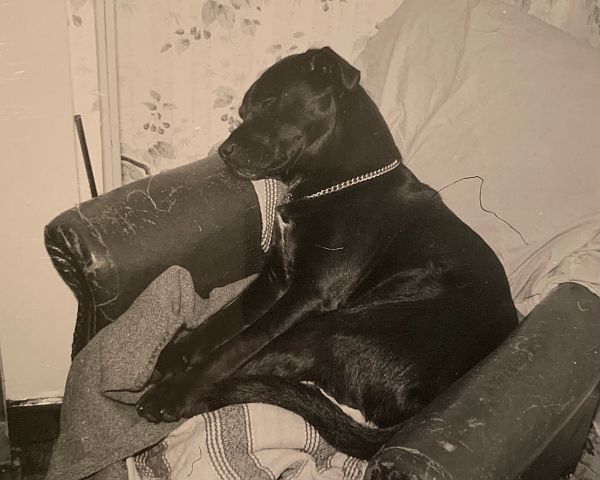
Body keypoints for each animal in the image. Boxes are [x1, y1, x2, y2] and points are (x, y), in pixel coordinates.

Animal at [136, 47, 516, 460]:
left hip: (334, 325)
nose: (224, 151)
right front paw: (176, 354)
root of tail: (419, 411)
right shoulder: (274, 280)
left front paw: (176, 389)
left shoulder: (308, 294)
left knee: (255, 367)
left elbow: (235, 346)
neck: (334, 184)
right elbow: (220, 321)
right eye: (242, 111)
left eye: (270, 101)